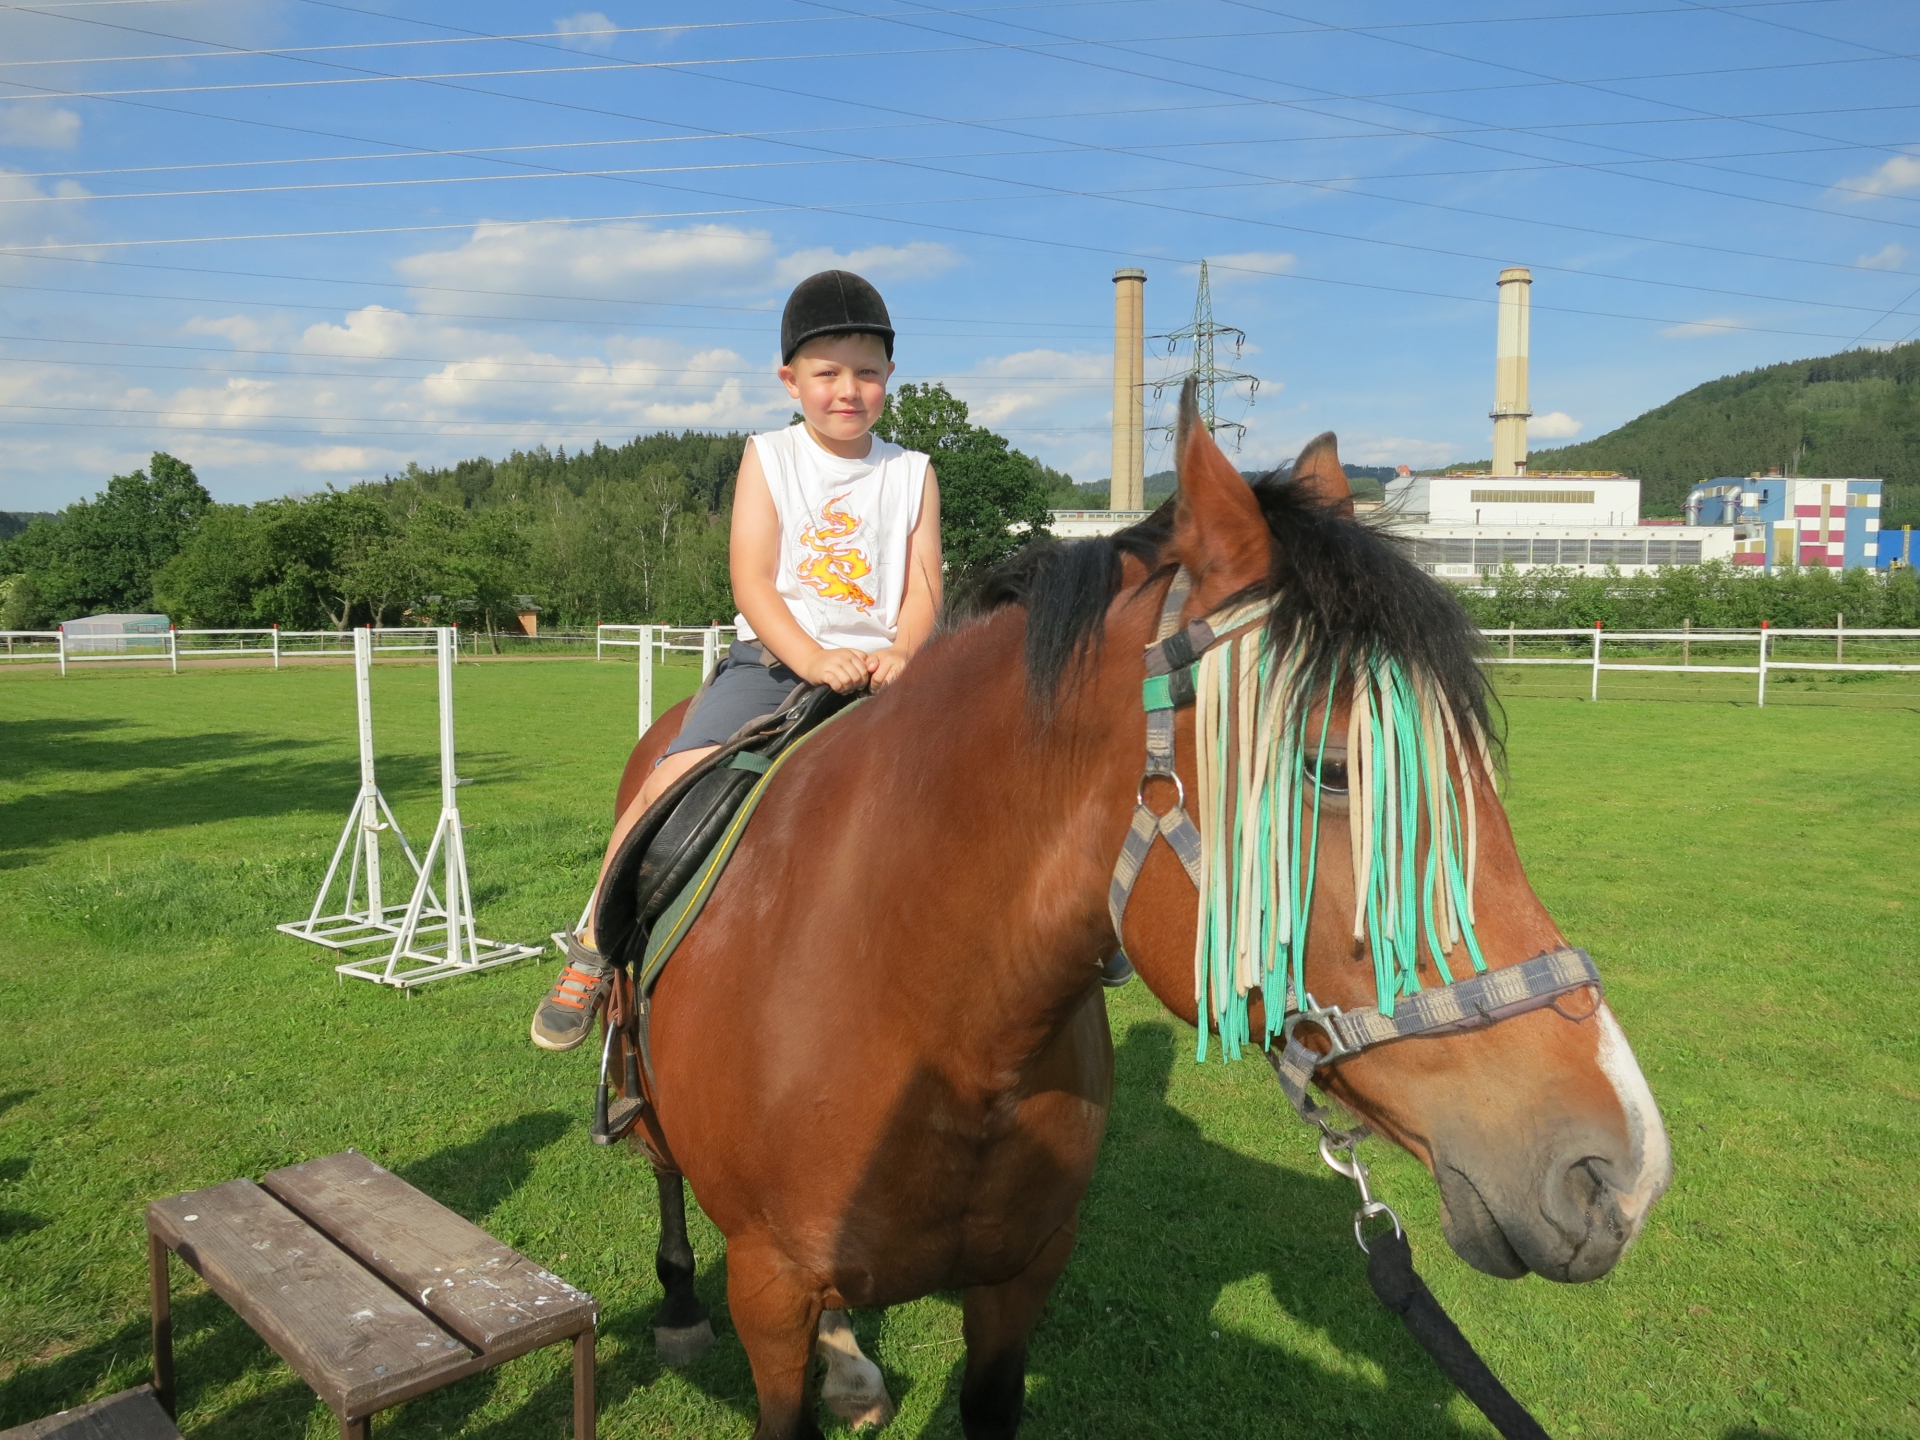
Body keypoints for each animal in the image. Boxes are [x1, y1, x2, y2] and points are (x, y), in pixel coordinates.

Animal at [592, 387, 1671, 1440]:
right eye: (1330, 768)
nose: (1619, 1171)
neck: (924, 1011)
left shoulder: (1020, 1279)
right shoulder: (768, 1290)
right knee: (659, 1170)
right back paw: (682, 1307)